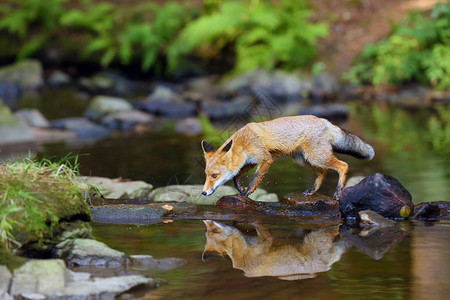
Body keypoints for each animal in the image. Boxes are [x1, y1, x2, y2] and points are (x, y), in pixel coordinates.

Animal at [202, 115, 374, 199]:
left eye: (214, 175)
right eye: (206, 175)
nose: (203, 193)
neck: (244, 142)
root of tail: (326, 122)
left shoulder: (265, 159)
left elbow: (254, 179)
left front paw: (246, 193)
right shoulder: (251, 161)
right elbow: (235, 176)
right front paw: (240, 188)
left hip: (316, 157)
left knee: (343, 166)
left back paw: (338, 192)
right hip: (304, 160)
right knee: (323, 171)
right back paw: (312, 190)